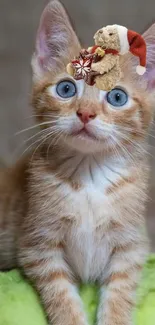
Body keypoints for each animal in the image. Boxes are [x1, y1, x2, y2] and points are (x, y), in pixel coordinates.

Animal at [0, 0, 155, 324]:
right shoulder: (38, 246)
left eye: (117, 97)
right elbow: (61, 296)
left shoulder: (131, 247)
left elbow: (120, 294)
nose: (85, 113)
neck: (89, 175)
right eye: (66, 89)